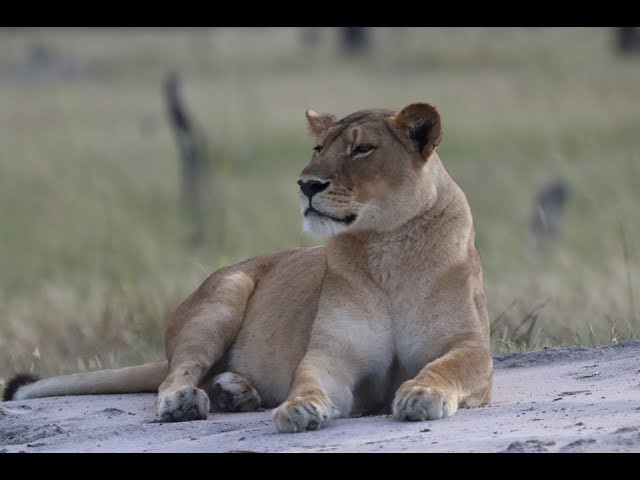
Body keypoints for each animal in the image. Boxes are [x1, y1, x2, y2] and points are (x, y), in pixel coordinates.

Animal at [3, 103, 493, 432]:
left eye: (362, 150)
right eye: (318, 147)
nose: (306, 184)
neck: (386, 246)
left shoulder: (471, 347)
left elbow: (447, 367)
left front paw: (422, 393)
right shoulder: (331, 354)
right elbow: (308, 378)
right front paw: (299, 408)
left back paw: (235, 392)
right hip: (224, 295)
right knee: (178, 373)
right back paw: (188, 400)